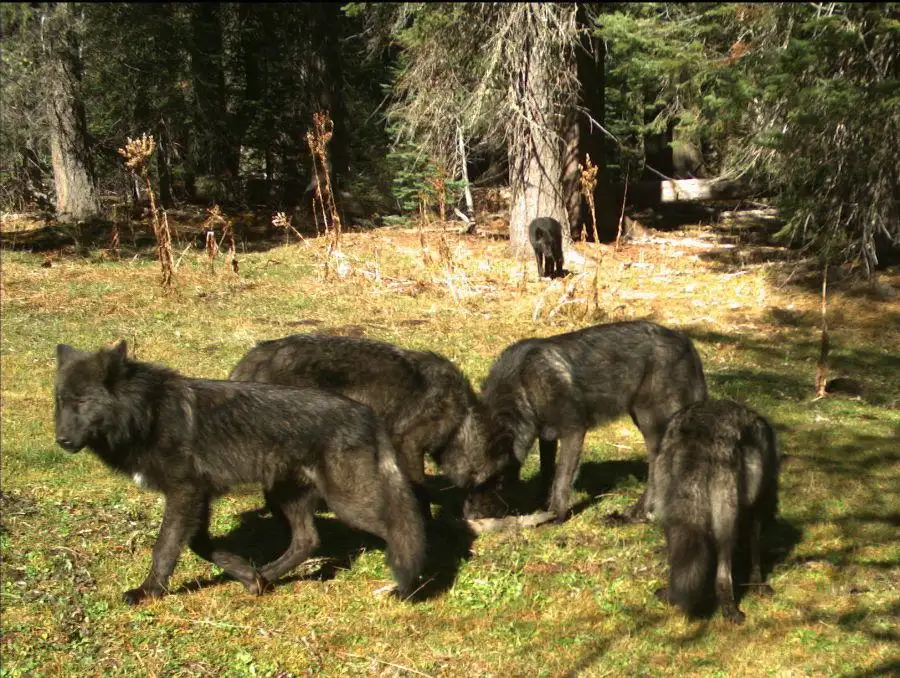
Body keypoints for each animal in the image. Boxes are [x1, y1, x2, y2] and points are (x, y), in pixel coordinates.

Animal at [54, 341, 425, 604]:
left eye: (82, 401)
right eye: (60, 401)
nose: (61, 440)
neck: (149, 413)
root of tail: (366, 413)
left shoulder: (184, 493)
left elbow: (165, 547)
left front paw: (148, 592)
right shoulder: (198, 497)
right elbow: (200, 545)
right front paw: (249, 576)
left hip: (346, 503)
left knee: (401, 530)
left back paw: (408, 586)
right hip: (282, 496)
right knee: (308, 540)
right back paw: (268, 576)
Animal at [228, 334, 512, 520]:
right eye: (498, 483)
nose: (498, 513)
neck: (460, 419)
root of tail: (257, 355)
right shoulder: (409, 446)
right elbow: (421, 491)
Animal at [480, 320, 707, 523]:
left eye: (492, 482)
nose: (477, 517)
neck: (524, 384)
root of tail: (686, 342)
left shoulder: (574, 430)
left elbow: (562, 479)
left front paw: (556, 516)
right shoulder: (547, 435)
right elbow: (547, 472)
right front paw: (541, 506)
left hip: (652, 426)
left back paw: (633, 516)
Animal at [652, 399, 780, 623]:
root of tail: (697, 429)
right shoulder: (756, 510)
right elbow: (755, 553)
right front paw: (757, 585)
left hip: (670, 516)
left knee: (677, 559)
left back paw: (671, 594)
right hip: (726, 523)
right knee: (723, 572)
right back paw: (730, 609)